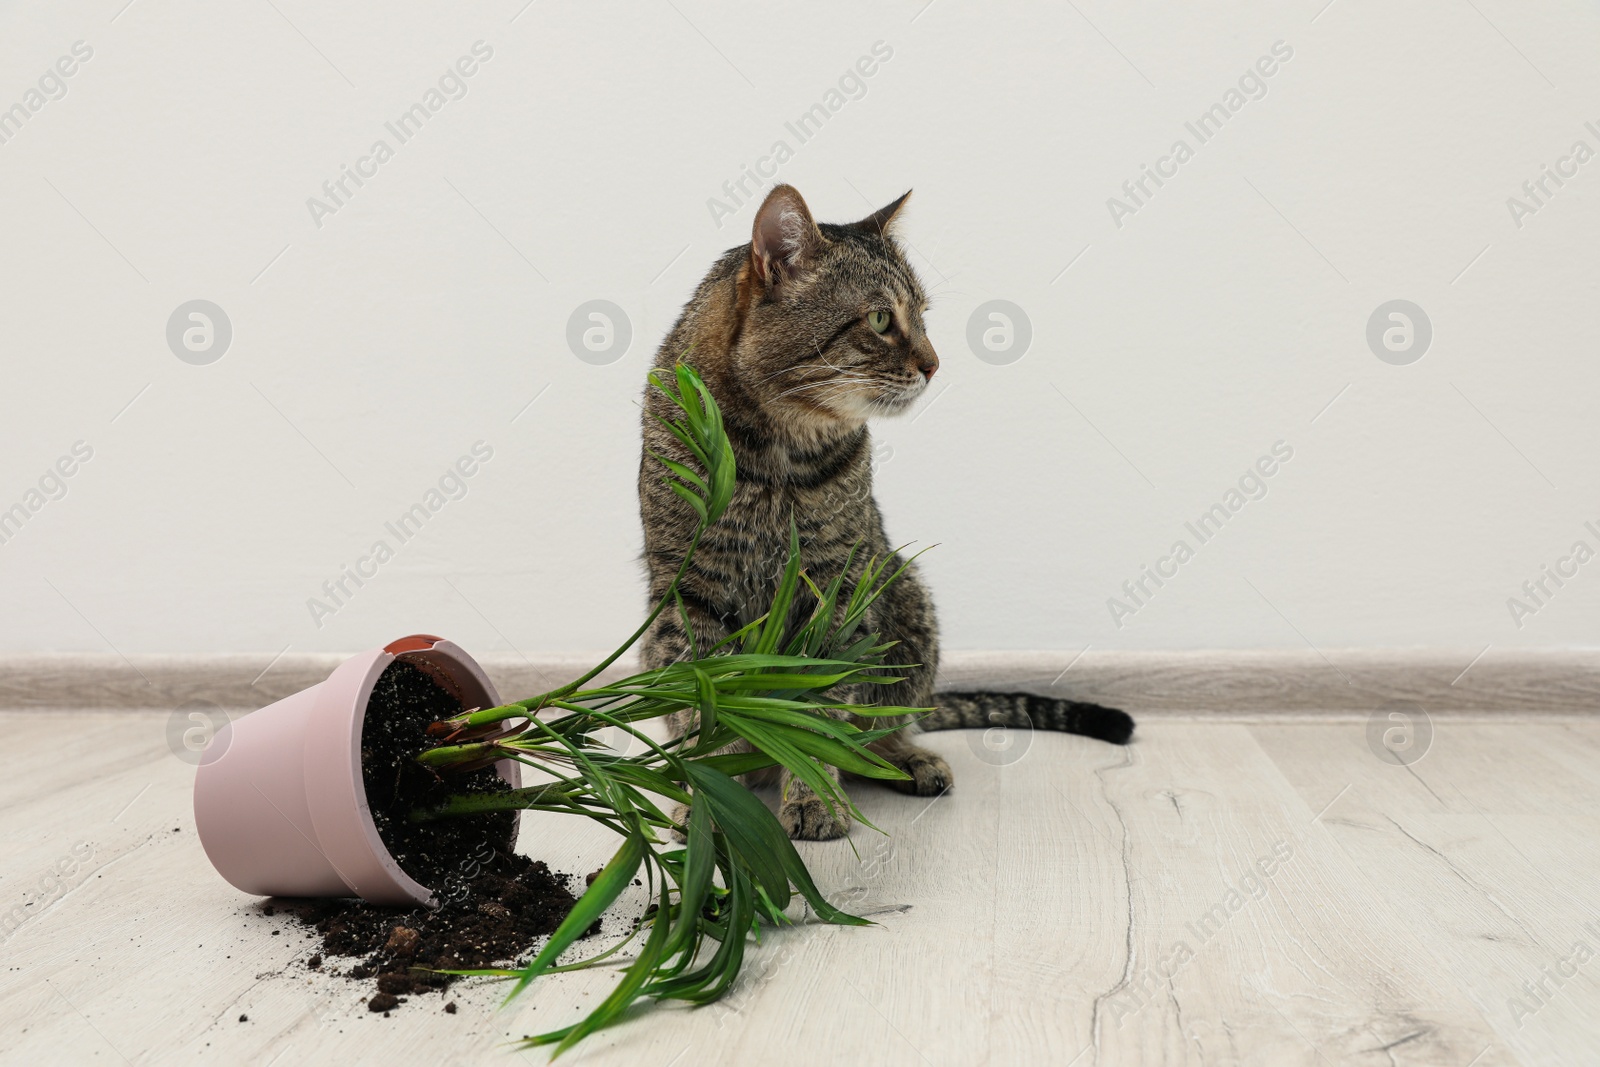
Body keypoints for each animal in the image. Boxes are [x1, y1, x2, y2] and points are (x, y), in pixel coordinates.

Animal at [636, 185, 1139, 844]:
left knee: (884, 726)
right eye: (880, 320)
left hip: (901, 590)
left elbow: (818, 715)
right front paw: (708, 799)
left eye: (923, 316)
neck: (773, 452)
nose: (934, 363)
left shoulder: (834, 588)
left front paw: (815, 797)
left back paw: (905, 760)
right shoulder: (687, 590)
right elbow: (707, 712)